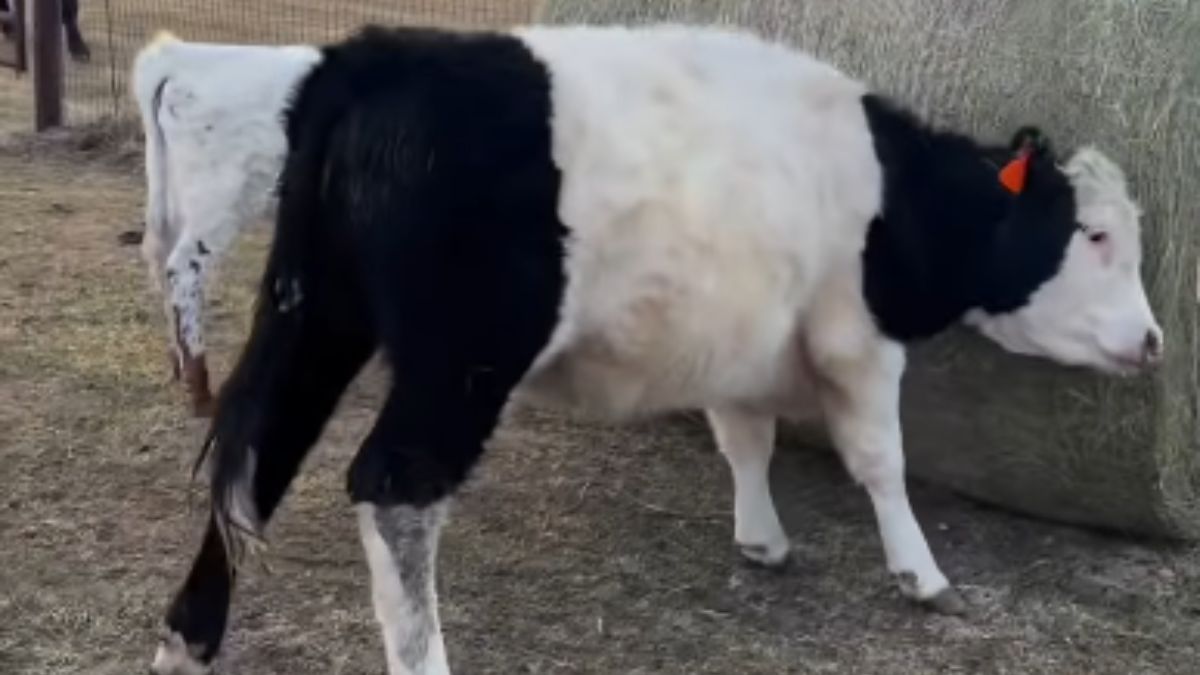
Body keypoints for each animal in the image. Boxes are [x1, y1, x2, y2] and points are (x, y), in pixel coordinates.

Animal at [150, 23, 1162, 675]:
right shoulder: (857, 335)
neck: (889, 188)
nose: (1154, 340)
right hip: (459, 358)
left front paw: (762, 536)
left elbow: (746, 439)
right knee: (393, 482)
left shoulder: (742, 337)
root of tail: (378, 53)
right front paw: (923, 573)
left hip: (315, 314)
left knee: (250, 460)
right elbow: (881, 458)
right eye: (1095, 234)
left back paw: (185, 643)